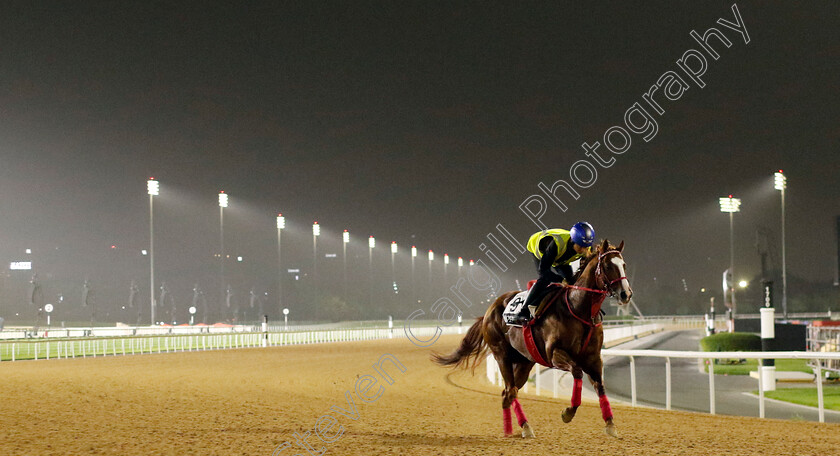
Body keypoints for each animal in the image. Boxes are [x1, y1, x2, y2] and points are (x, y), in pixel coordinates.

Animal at [430, 240, 632, 436]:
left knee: (506, 393)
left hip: (524, 361)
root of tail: (489, 311)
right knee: (511, 391)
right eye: (607, 265)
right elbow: (577, 372)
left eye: (623, 265)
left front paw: (610, 424)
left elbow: (600, 386)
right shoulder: (555, 354)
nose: (626, 294)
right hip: (501, 355)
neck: (577, 308)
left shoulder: (594, 358)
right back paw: (525, 427)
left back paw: (510, 430)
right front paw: (568, 412)